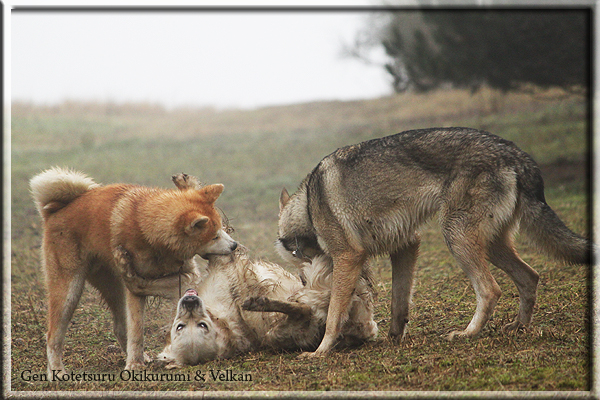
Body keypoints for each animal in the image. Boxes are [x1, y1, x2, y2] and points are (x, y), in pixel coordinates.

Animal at [278, 127, 592, 356]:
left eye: (303, 279)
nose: (303, 283)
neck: (308, 206)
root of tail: (514, 153)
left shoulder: (348, 257)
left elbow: (333, 314)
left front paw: (319, 352)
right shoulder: (406, 246)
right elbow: (399, 302)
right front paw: (393, 338)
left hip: (456, 237)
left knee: (491, 290)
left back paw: (467, 334)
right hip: (490, 245)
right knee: (530, 277)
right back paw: (518, 328)